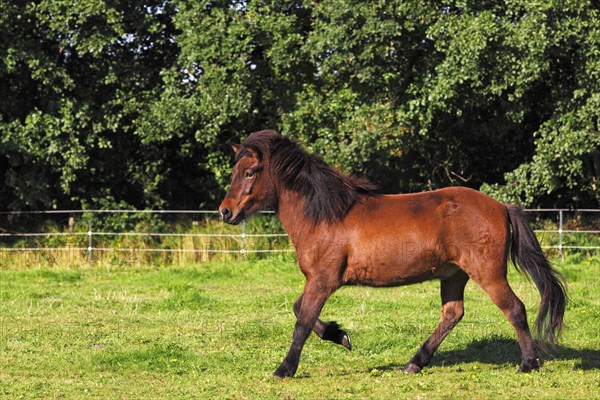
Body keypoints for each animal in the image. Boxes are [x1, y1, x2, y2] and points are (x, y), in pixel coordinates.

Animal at [218, 130, 564, 378]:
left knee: (514, 308)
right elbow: (299, 310)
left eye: (250, 172)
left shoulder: (322, 280)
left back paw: (528, 363)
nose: (225, 212)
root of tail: (502, 207)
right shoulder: (318, 280)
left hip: (488, 273)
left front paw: (284, 369)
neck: (324, 215)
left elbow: (302, 322)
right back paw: (414, 363)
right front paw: (340, 335)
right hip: (454, 275)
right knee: (452, 314)